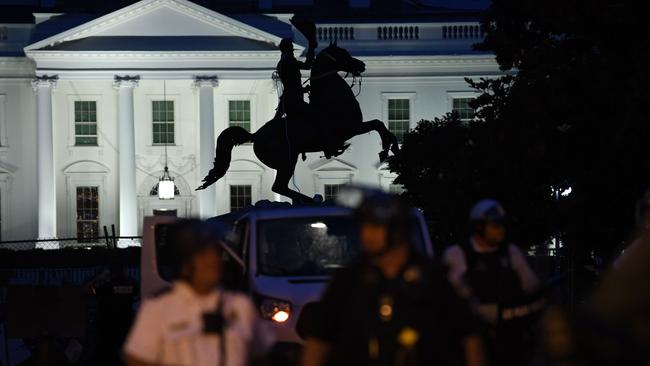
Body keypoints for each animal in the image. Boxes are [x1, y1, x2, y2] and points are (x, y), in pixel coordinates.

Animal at [196, 43, 400, 203]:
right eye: (342, 53)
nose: (362, 64)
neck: (333, 98)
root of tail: (254, 135)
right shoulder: (351, 128)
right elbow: (378, 124)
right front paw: (386, 149)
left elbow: (380, 125)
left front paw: (393, 149)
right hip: (287, 160)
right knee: (279, 186)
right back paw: (309, 199)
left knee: (281, 187)